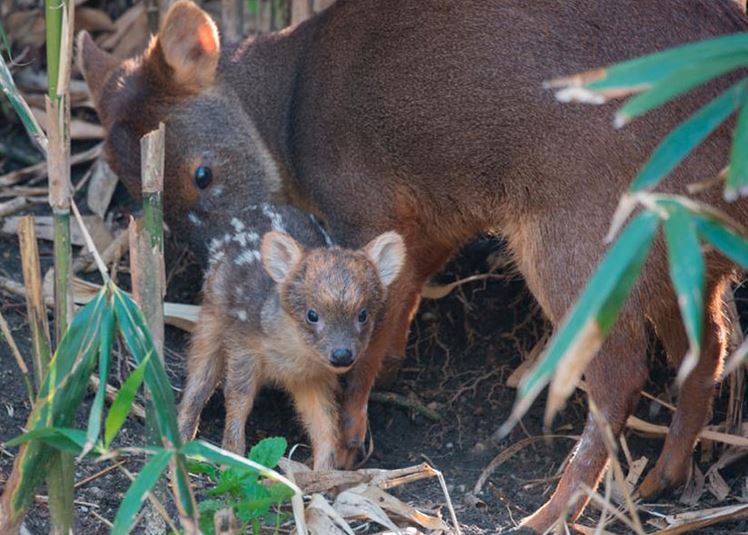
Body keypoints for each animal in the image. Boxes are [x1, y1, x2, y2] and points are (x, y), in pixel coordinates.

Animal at [179, 204, 406, 468]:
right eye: (312, 314)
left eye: (363, 314)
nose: (342, 355)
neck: (290, 357)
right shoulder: (243, 345)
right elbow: (238, 399)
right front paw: (232, 459)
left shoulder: (314, 378)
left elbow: (324, 422)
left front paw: (325, 471)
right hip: (212, 313)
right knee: (199, 376)